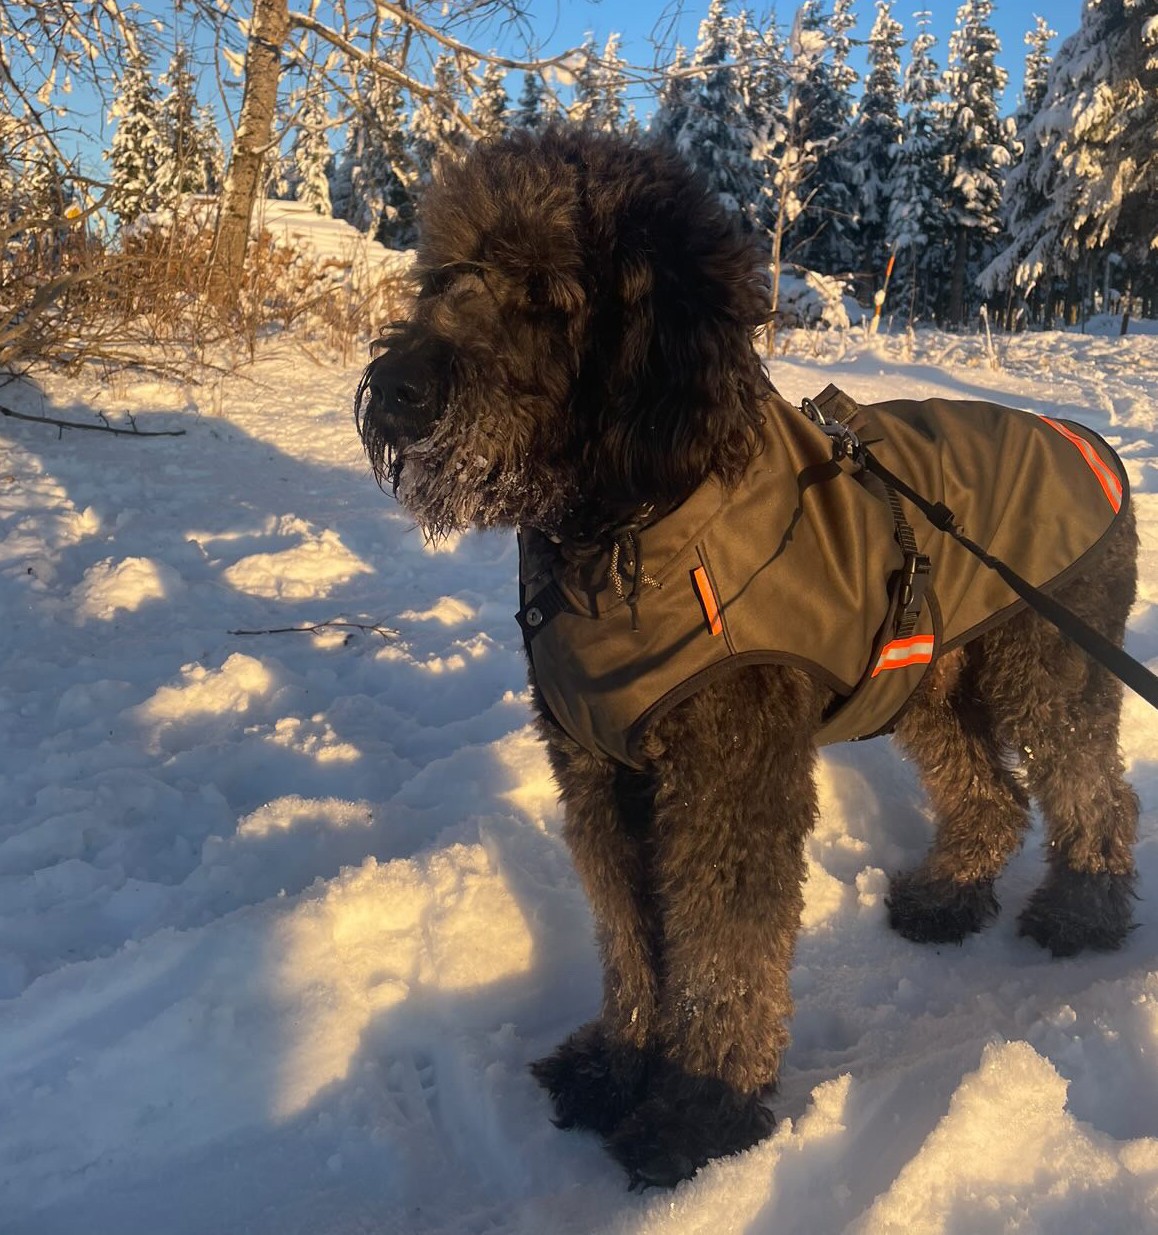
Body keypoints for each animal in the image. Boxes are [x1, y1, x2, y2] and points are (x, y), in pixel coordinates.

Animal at [355, 125, 1135, 1185]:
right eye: (443, 275)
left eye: (547, 294)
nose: (395, 395)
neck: (624, 532)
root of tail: (1092, 441)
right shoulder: (600, 774)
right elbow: (630, 935)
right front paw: (618, 1062)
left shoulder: (729, 777)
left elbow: (723, 953)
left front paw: (700, 1110)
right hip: (928, 683)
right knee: (991, 794)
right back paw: (948, 895)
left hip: (1050, 667)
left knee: (1094, 790)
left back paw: (1084, 912)